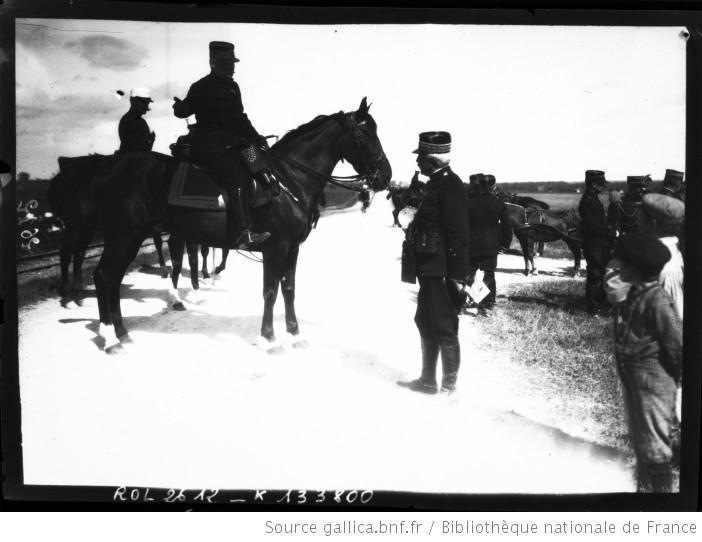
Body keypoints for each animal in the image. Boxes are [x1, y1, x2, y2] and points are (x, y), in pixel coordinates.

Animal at [89, 99, 390, 354]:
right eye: (366, 135)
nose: (386, 176)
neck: (287, 180)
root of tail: (110, 168)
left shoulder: (292, 249)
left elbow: (289, 289)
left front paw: (295, 334)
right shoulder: (275, 248)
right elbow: (270, 292)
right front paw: (269, 338)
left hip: (132, 238)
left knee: (114, 278)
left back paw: (122, 332)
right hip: (123, 236)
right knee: (104, 276)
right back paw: (110, 338)